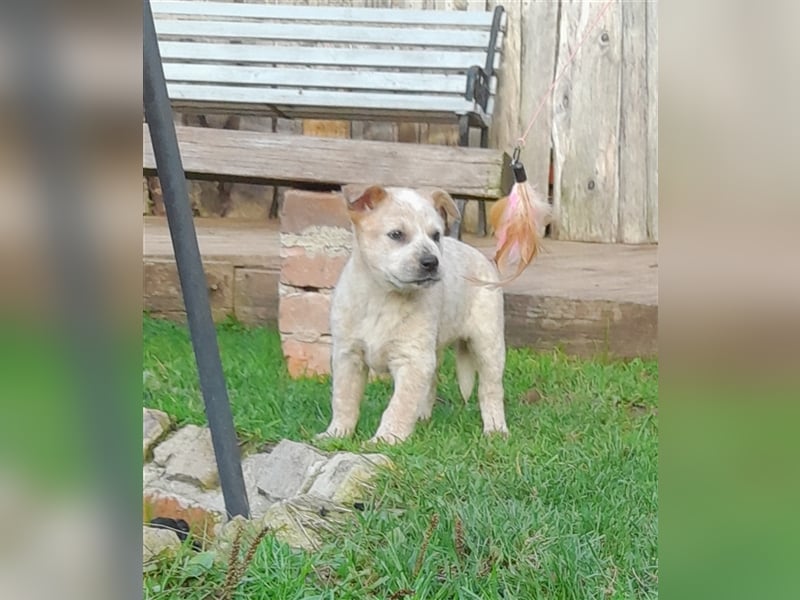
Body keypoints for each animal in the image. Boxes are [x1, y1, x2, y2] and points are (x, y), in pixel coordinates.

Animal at [318, 185, 506, 442]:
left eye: (436, 235)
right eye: (397, 234)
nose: (431, 261)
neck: (382, 297)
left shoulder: (413, 359)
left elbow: (399, 404)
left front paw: (386, 439)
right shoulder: (348, 354)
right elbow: (343, 398)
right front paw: (336, 434)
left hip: (488, 344)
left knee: (491, 389)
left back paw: (496, 429)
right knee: (431, 383)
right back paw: (421, 418)